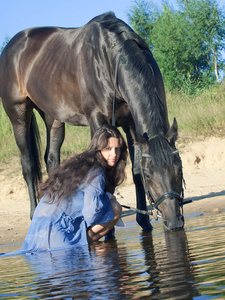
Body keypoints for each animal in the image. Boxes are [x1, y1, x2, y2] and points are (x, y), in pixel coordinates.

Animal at [0, 11, 184, 231]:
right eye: (151, 175)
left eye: (179, 168)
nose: (174, 222)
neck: (110, 60)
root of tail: (11, 47)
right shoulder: (98, 119)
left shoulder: (131, 123)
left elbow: (135, 170)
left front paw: (145, 223)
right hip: (18, 114)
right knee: (27, 164)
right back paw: (33, 213)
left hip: (53, 117)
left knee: (52, 160)